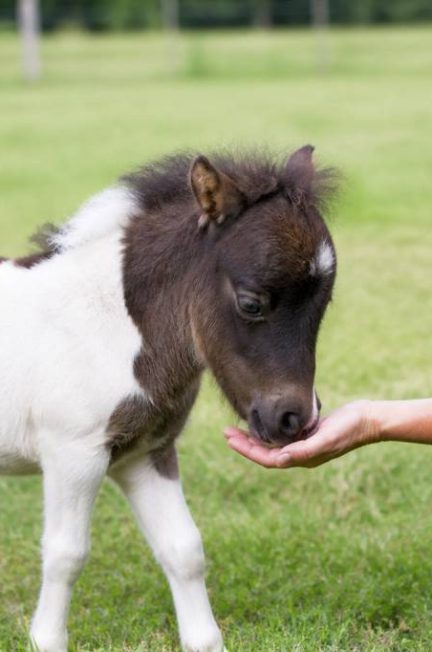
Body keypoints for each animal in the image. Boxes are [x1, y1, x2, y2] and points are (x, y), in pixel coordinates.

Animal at [0, 145, 337, 652]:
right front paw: (46, 639)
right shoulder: (72, 453)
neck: (110, 326)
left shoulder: (145, 452)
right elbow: (66, 554)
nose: (293, 420)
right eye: (251, 302)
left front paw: (204, 640)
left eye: (324, 304)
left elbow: (184, 549)